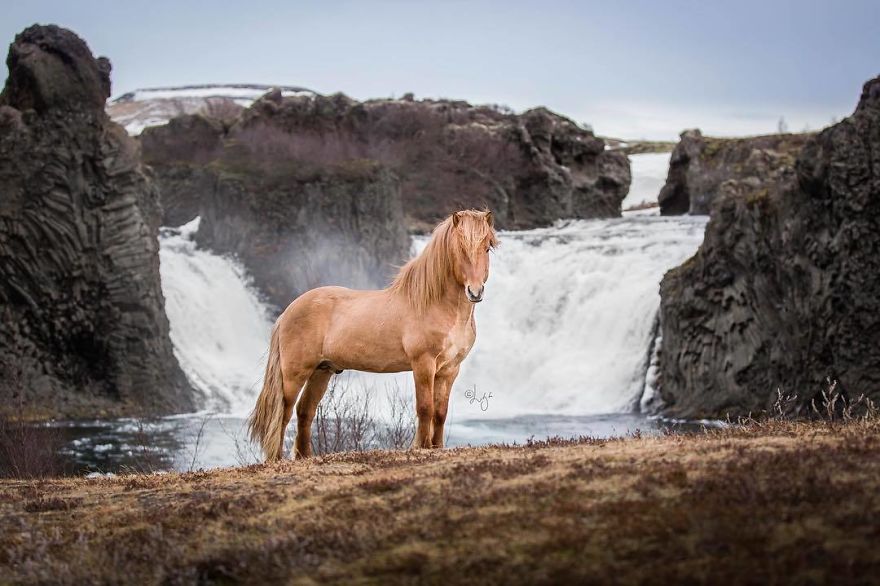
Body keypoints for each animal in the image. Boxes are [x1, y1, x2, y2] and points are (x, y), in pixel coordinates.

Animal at [248, 209, 499, 461]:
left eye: (487, 247)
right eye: (460, 249)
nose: (475, 292)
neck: (434, 305)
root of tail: (287, 312)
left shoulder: (449, 370)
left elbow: (440, 412)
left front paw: (436, 448)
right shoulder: (423, 365)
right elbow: (425, 408)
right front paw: (421, 447)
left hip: (322, 371)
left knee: (304, 411)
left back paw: (305, 457)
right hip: (294, 374)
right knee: (284, 412)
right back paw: (276, 460)